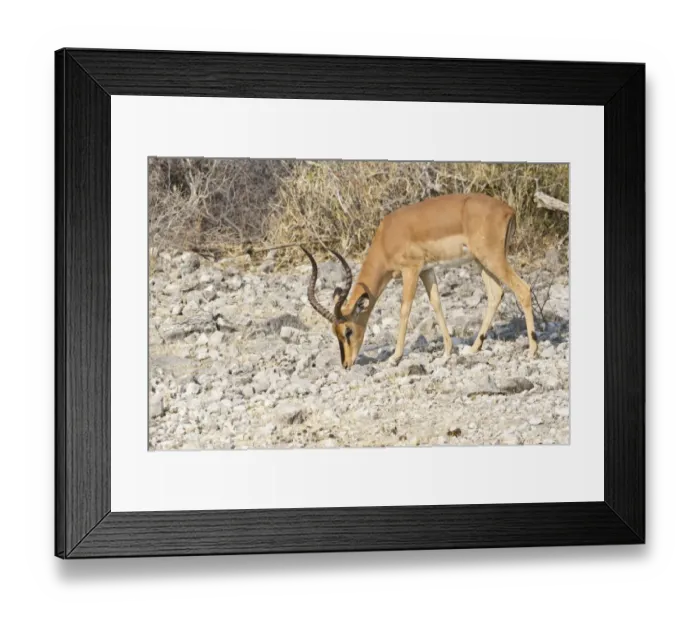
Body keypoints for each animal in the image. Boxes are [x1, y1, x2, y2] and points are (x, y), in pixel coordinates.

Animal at [301, 193, 538, 370]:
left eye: (348, 330)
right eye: (335, 333)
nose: (346, 364)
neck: (387, 237)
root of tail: (509, 210)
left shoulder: (411, 270)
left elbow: (405, 309)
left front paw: (394, 357)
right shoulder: (427, 270)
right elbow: (436, 304)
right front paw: (447, 352)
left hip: (492, 259)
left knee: (523, 289)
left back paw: (532, 350)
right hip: (482, 262)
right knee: (496, 294)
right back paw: (473, 348)